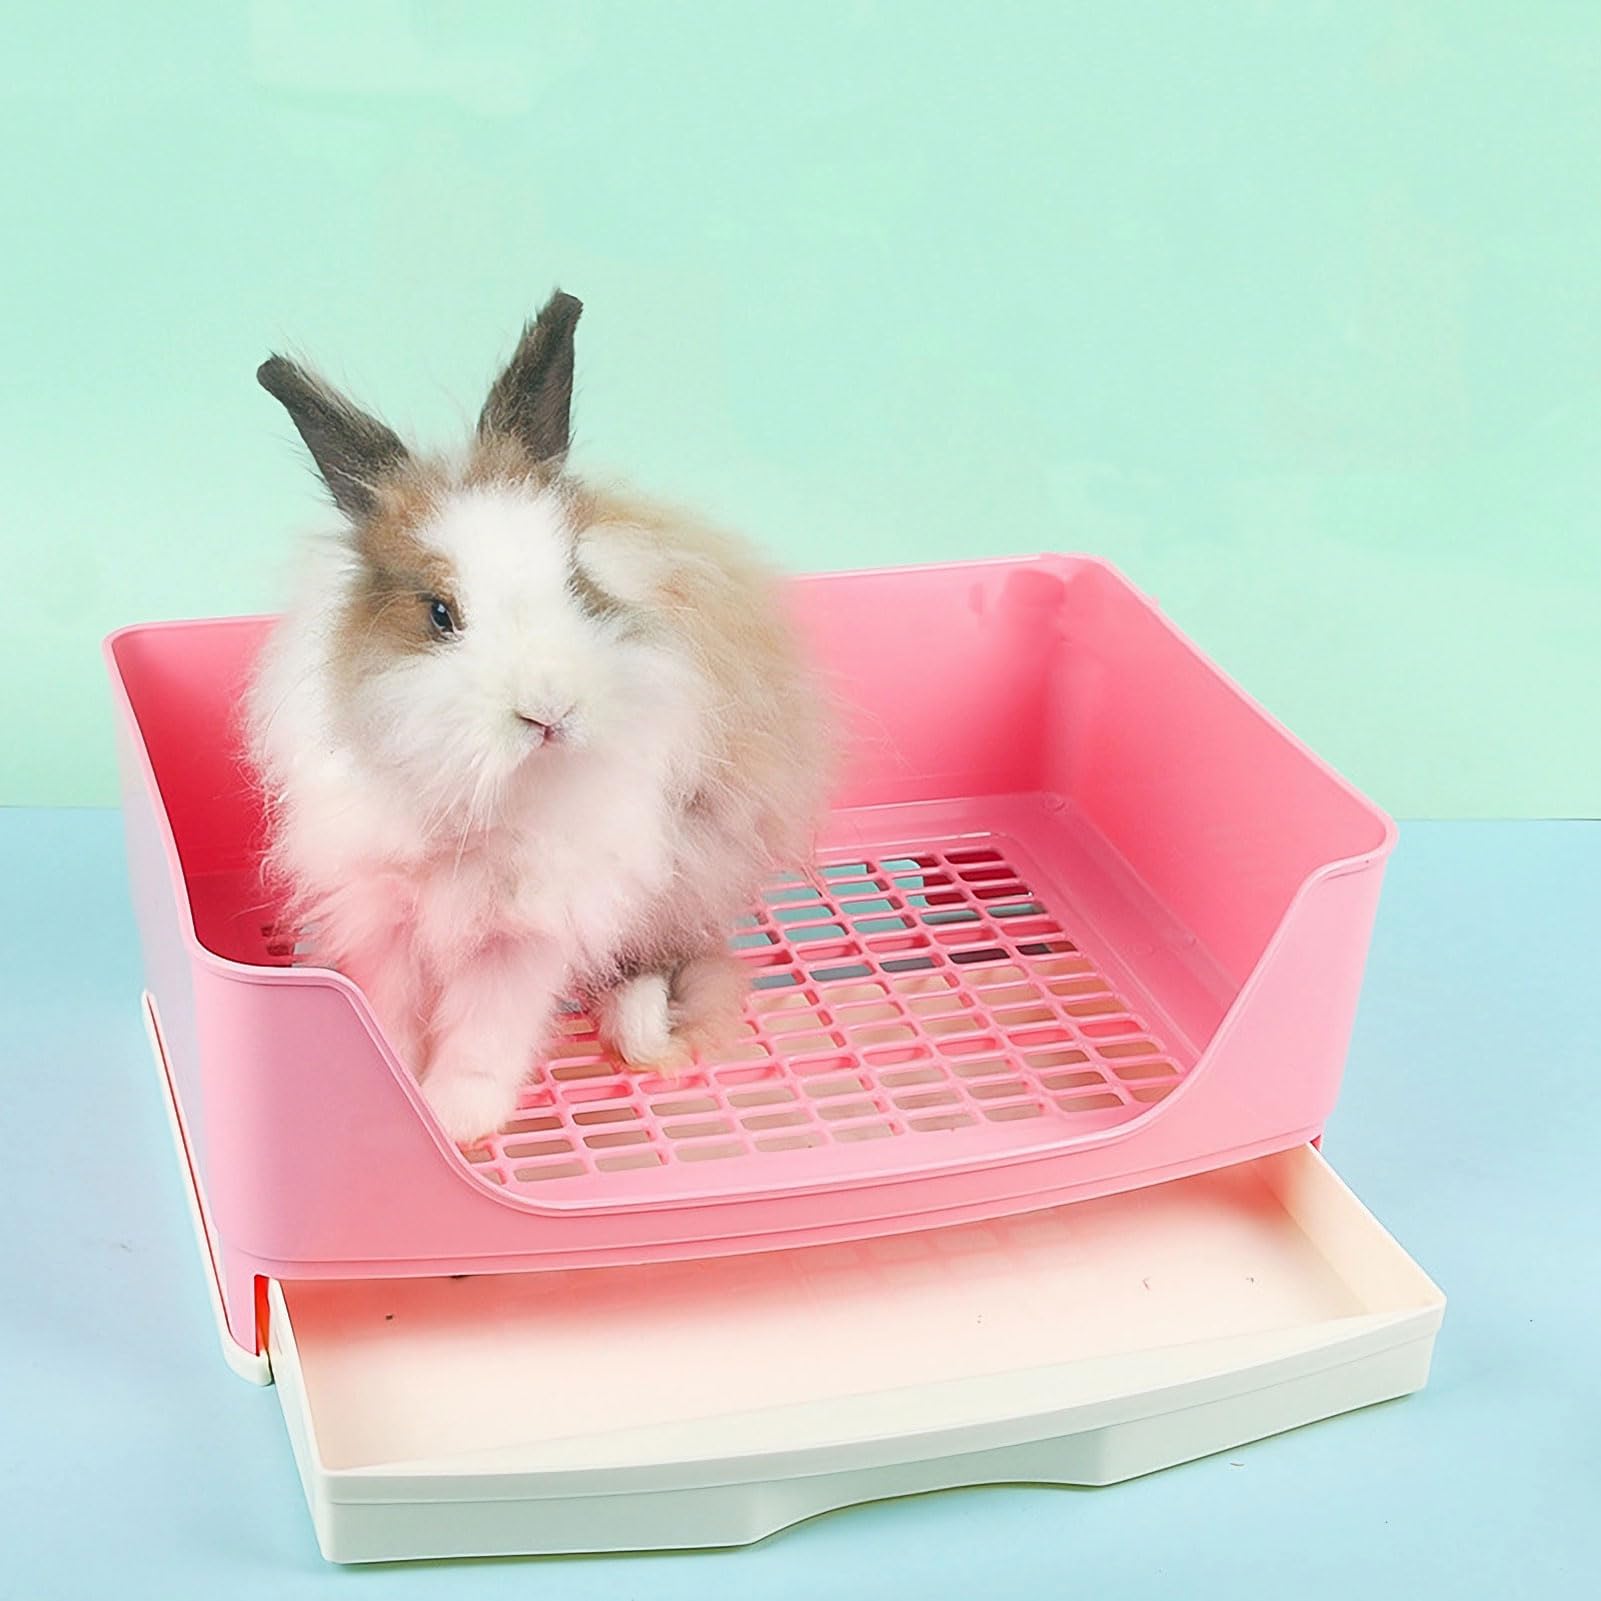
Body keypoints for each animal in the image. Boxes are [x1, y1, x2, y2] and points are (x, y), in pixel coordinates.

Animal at [245, 290, 830, 1146]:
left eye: (578, 585)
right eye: (440, 612)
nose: (549, 711)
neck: (483, 793)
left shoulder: (529, 927)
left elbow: (487, 1030)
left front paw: (455, 1117)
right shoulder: (380, 907)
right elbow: (390, 1010)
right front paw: (399, 1085)